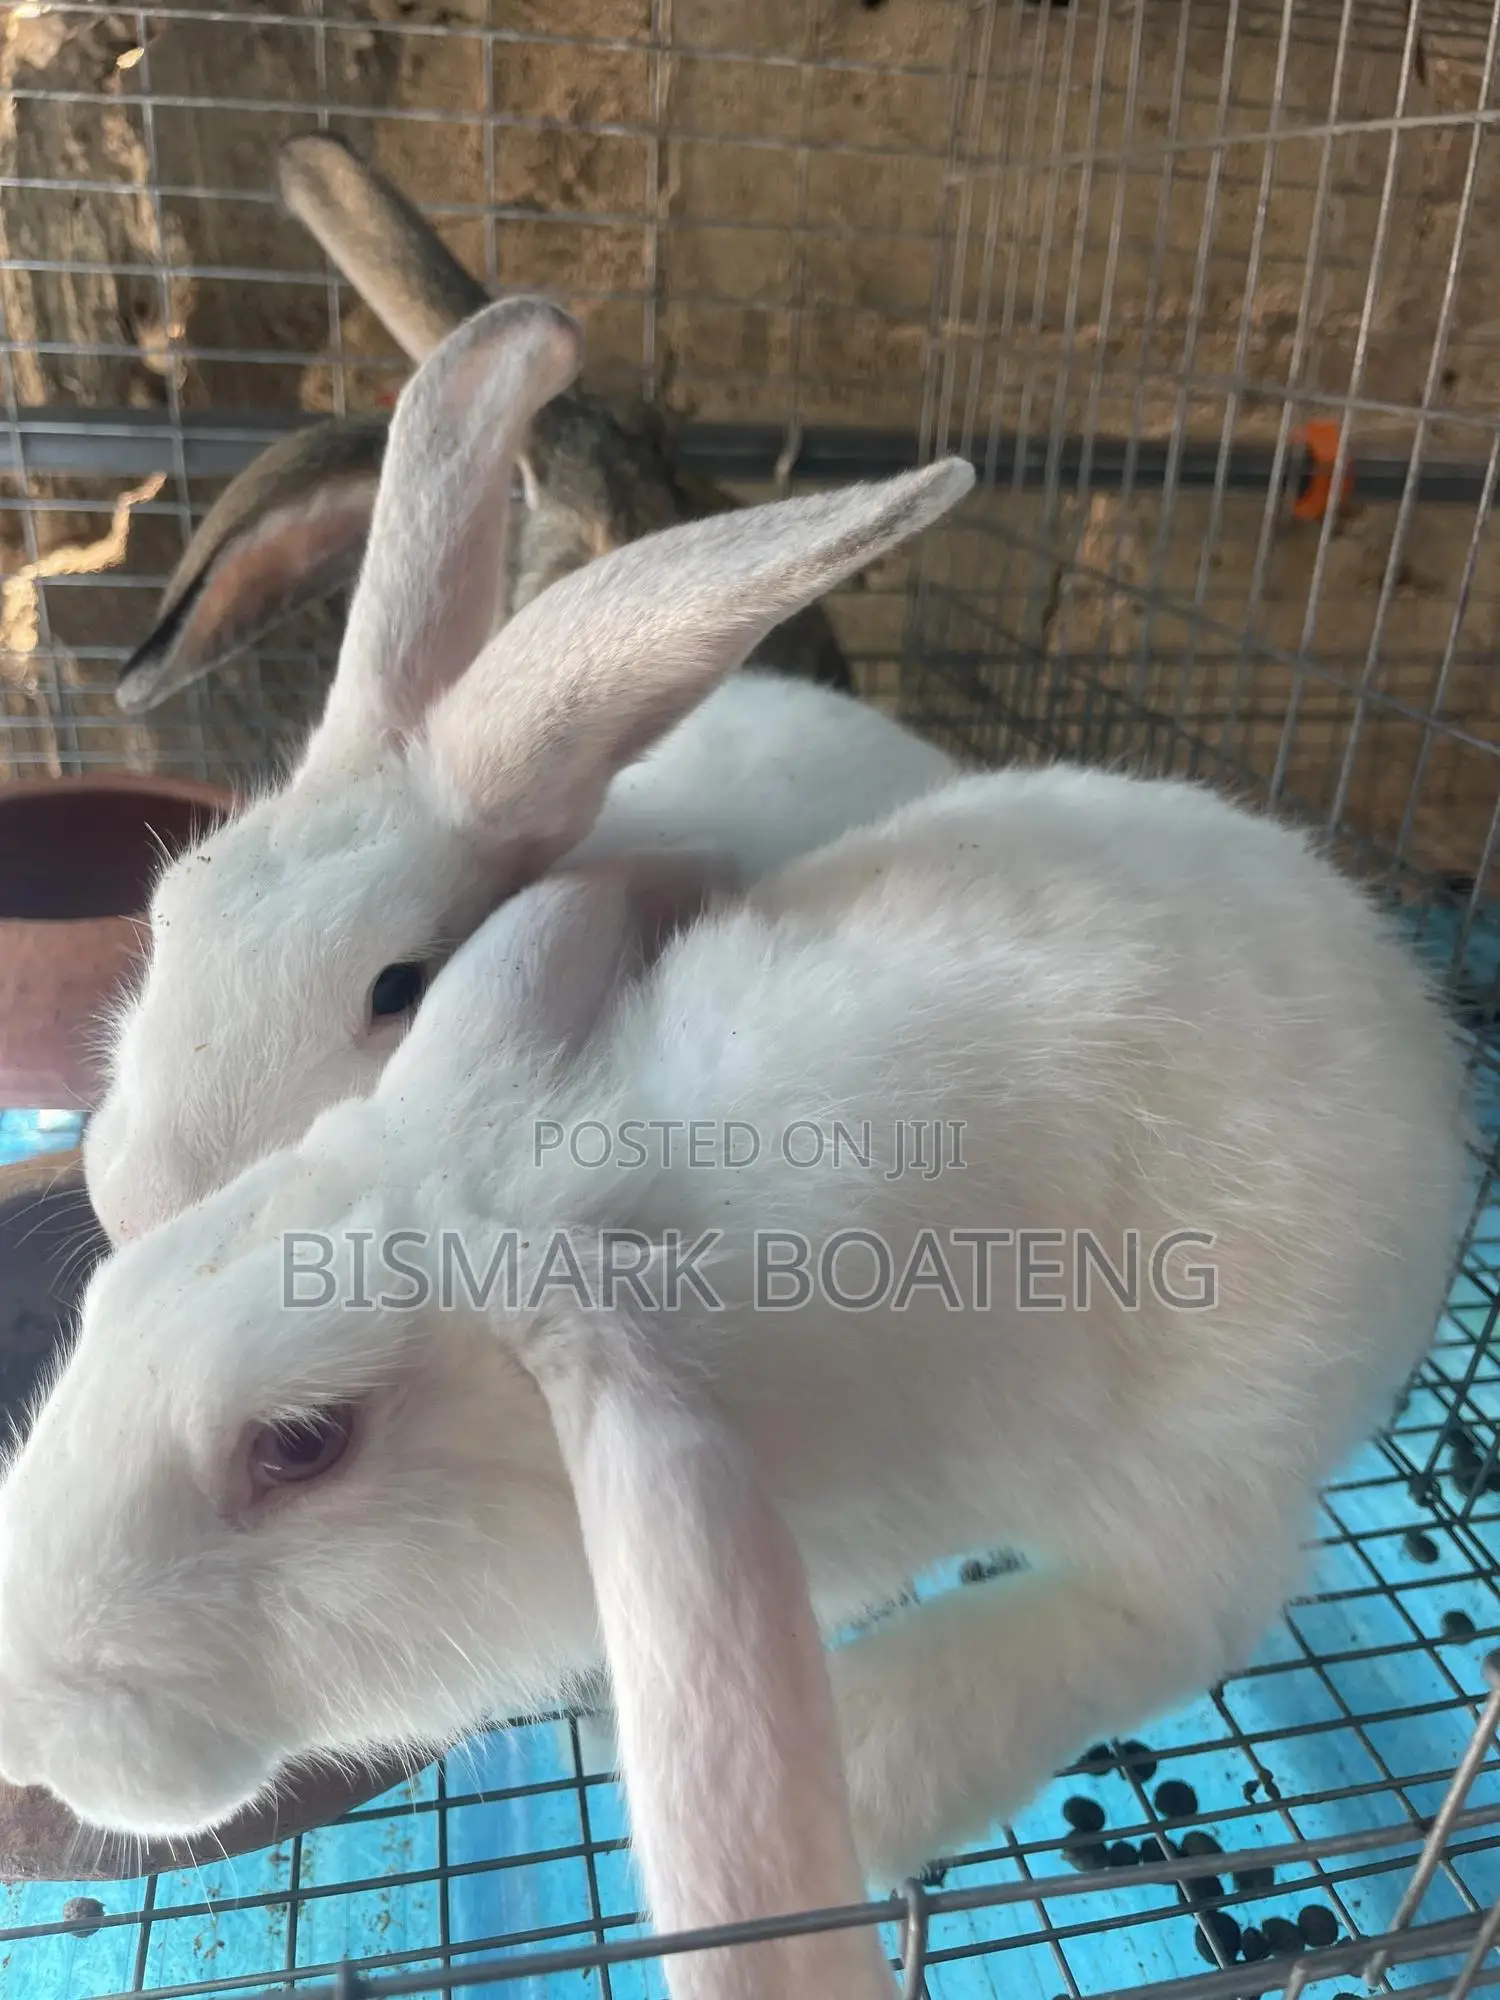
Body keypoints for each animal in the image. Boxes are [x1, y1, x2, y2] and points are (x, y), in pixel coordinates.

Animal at [0, 415, 1470, 1923]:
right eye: (163, 920)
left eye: (298, 1445)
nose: (30, 1721)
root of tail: (1398, 995)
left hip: (1215, 1437)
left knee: (1181, 1606)